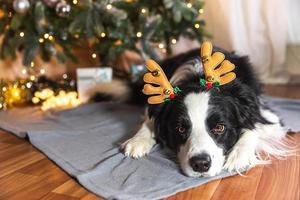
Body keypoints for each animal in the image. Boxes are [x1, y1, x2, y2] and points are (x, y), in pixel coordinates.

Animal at [89, 46, 292, 177]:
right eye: (180, 129)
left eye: (219, 128)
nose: (201, 164)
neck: (199, 78)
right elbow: (150, 119)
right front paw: (137, 140)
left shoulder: (266, 115)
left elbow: (253, 126)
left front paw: (239, 155)